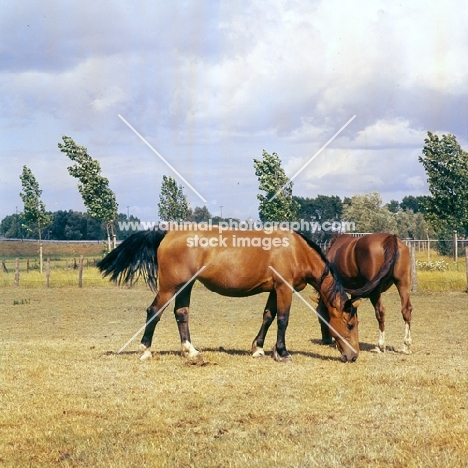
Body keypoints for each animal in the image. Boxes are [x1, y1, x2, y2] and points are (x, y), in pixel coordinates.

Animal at [98, 229, 362, 364]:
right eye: (350, 324)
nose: (353, 355)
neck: (296, 250)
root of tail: (167, 233)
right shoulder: (284, 288)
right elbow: (282, 319)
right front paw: (283, 352)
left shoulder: (274, 290)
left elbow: (268, 316)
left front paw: (258, 348)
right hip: (171, 287)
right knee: (154, 312)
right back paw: (145, 350)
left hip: (185, 286)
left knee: (181, 314)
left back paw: (190, 351)